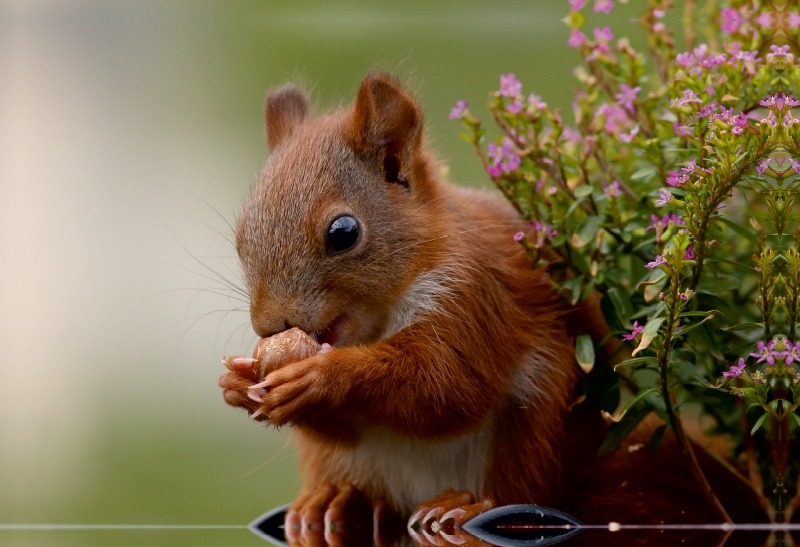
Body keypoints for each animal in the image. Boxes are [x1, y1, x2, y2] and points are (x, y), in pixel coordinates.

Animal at [216, 73, 764, 547]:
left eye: (344, 232)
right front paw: (236, 385)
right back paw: (335, 499)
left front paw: (323, 376)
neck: (379, 318)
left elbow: (443, 386)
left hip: (538, 419)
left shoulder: (474, 297)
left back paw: (470, 507)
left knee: (527, 492)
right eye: (241, 236)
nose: (269, 325)